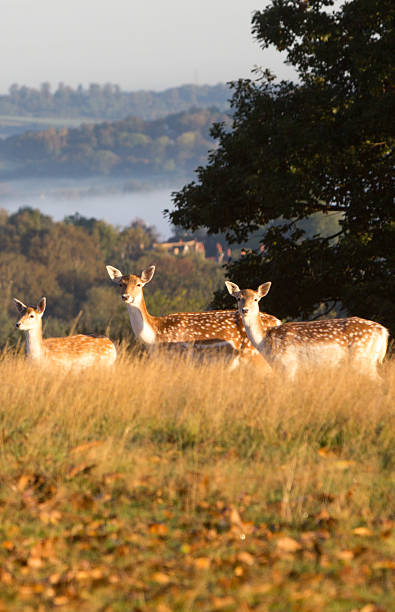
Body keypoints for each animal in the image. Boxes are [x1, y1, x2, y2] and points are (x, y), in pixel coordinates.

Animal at [105, 264, 282, 368]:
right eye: (120, 284)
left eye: (139, 284)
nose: (126, 296)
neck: (155, 335)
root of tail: (278, 321)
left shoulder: (179, 358)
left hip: (257, 357)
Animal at [226, 280, 390, 378]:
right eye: (238, 298)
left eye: (256, 299)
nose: (245, 310)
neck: (266, 343)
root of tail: (383, 332)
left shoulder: (289, 365)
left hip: (362, 358)